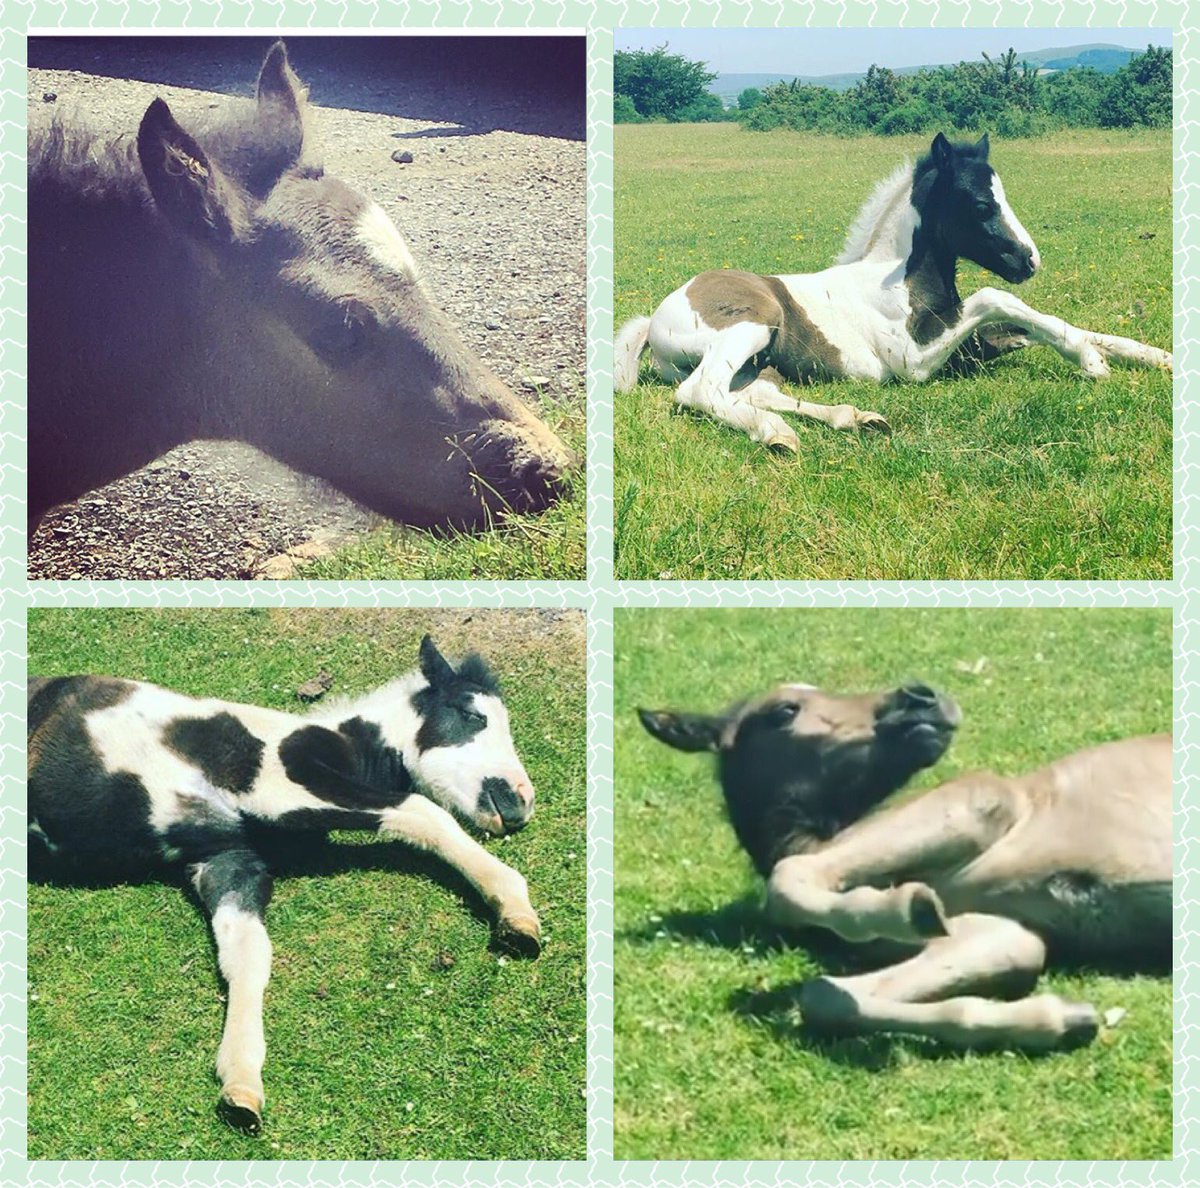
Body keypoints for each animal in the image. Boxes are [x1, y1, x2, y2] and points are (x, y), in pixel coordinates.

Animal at [28, 636, 542, 1134]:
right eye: (473, 715)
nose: (521, 801)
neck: (308, 742)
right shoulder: (282, 789)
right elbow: (420, 810)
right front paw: (515, 910)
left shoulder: (227, 861)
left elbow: (249, 956)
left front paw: (241, 1086)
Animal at [615, 133, 1172, 451]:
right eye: (979, 203)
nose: (1030, 260)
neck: (900, 278)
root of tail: (654, 319)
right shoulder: (913, 362)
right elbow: (996, 298)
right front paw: (1093, 362)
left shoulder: (970, 345)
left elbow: (1042, 323)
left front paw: (1149, 355)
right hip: (751, 326)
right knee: (700, 392)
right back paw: (778, 436)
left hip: (761, 360)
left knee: (755, 392)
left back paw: (855, 418)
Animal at [638, 679, 1170, 1052]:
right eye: (784, 710)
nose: (921, 697)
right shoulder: (1004, 930)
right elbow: (823, 996)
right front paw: (1060, 1020)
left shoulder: (982, 799)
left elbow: (790, 879)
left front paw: (901, 907)